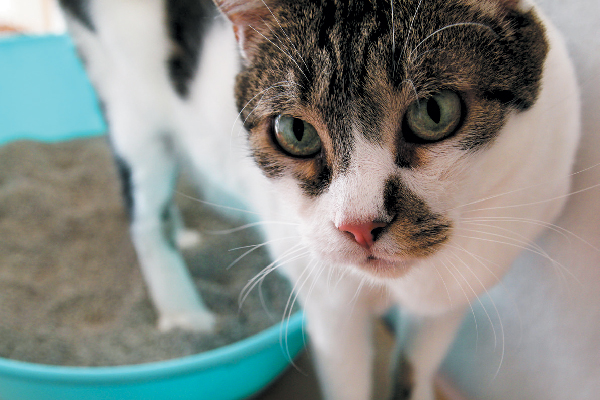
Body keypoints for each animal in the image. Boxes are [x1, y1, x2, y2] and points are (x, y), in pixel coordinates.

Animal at [58, 0, 580, 400]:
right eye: (295, 131)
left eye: (434, 112)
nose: (359, 225)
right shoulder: (331, 308)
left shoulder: (446, 302)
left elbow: (413, 371)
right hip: (129, 107)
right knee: (145, 218)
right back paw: (185, 315)